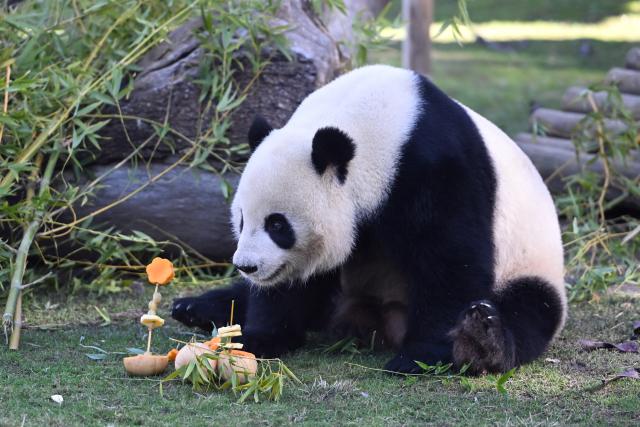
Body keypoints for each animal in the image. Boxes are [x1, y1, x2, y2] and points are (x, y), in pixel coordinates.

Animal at [172, 65, 567, 374]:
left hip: (529, 264)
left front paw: (424, 357)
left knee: (529, 309)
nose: (247, 266)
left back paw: (481, 338)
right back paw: (194, 307)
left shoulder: (437, 169)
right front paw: (262, 336)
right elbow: (291, 285)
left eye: (277, 224)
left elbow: (451, 262)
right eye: (241, 220)